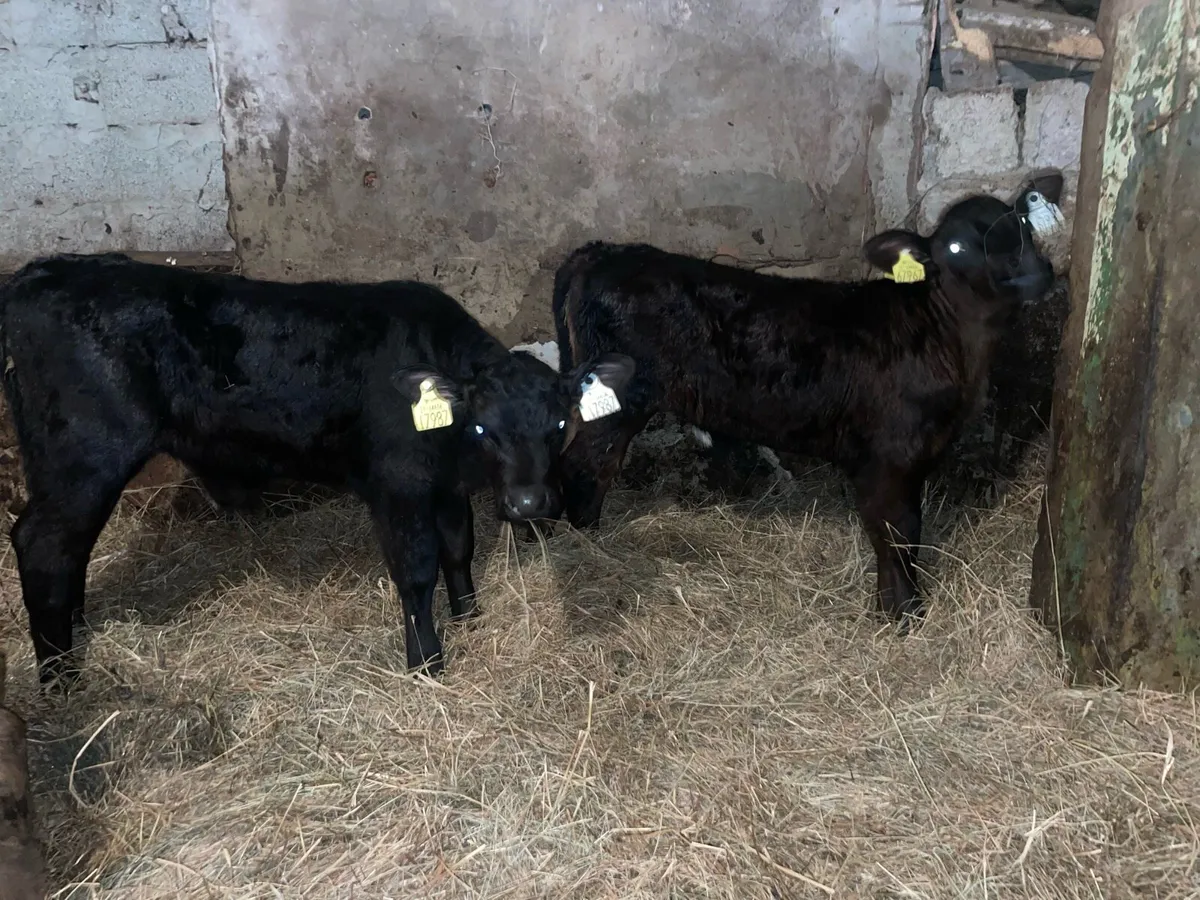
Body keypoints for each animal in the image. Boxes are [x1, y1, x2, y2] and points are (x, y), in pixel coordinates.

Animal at [0, 254, 635, 686]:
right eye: (484, 430)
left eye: (560, 424)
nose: (530, 505)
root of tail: (41, 273)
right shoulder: (398, 486)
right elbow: (417, 571)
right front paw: (426, 661)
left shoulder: (445, 484)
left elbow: (459, 550)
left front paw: (470, 618)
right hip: (85, 455)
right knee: (42, 544)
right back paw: (60, 679)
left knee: (69, 550)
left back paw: (76, 639)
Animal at [552, 172, 1064, 625]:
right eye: (956, 248)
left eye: (1023, 225)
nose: (1035, 274)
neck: (946, 337)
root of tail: (602, 251)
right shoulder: (885, 455)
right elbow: (896, 533)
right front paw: (902, 614)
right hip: (619, 399)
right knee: (585, 460)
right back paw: (579, 539)